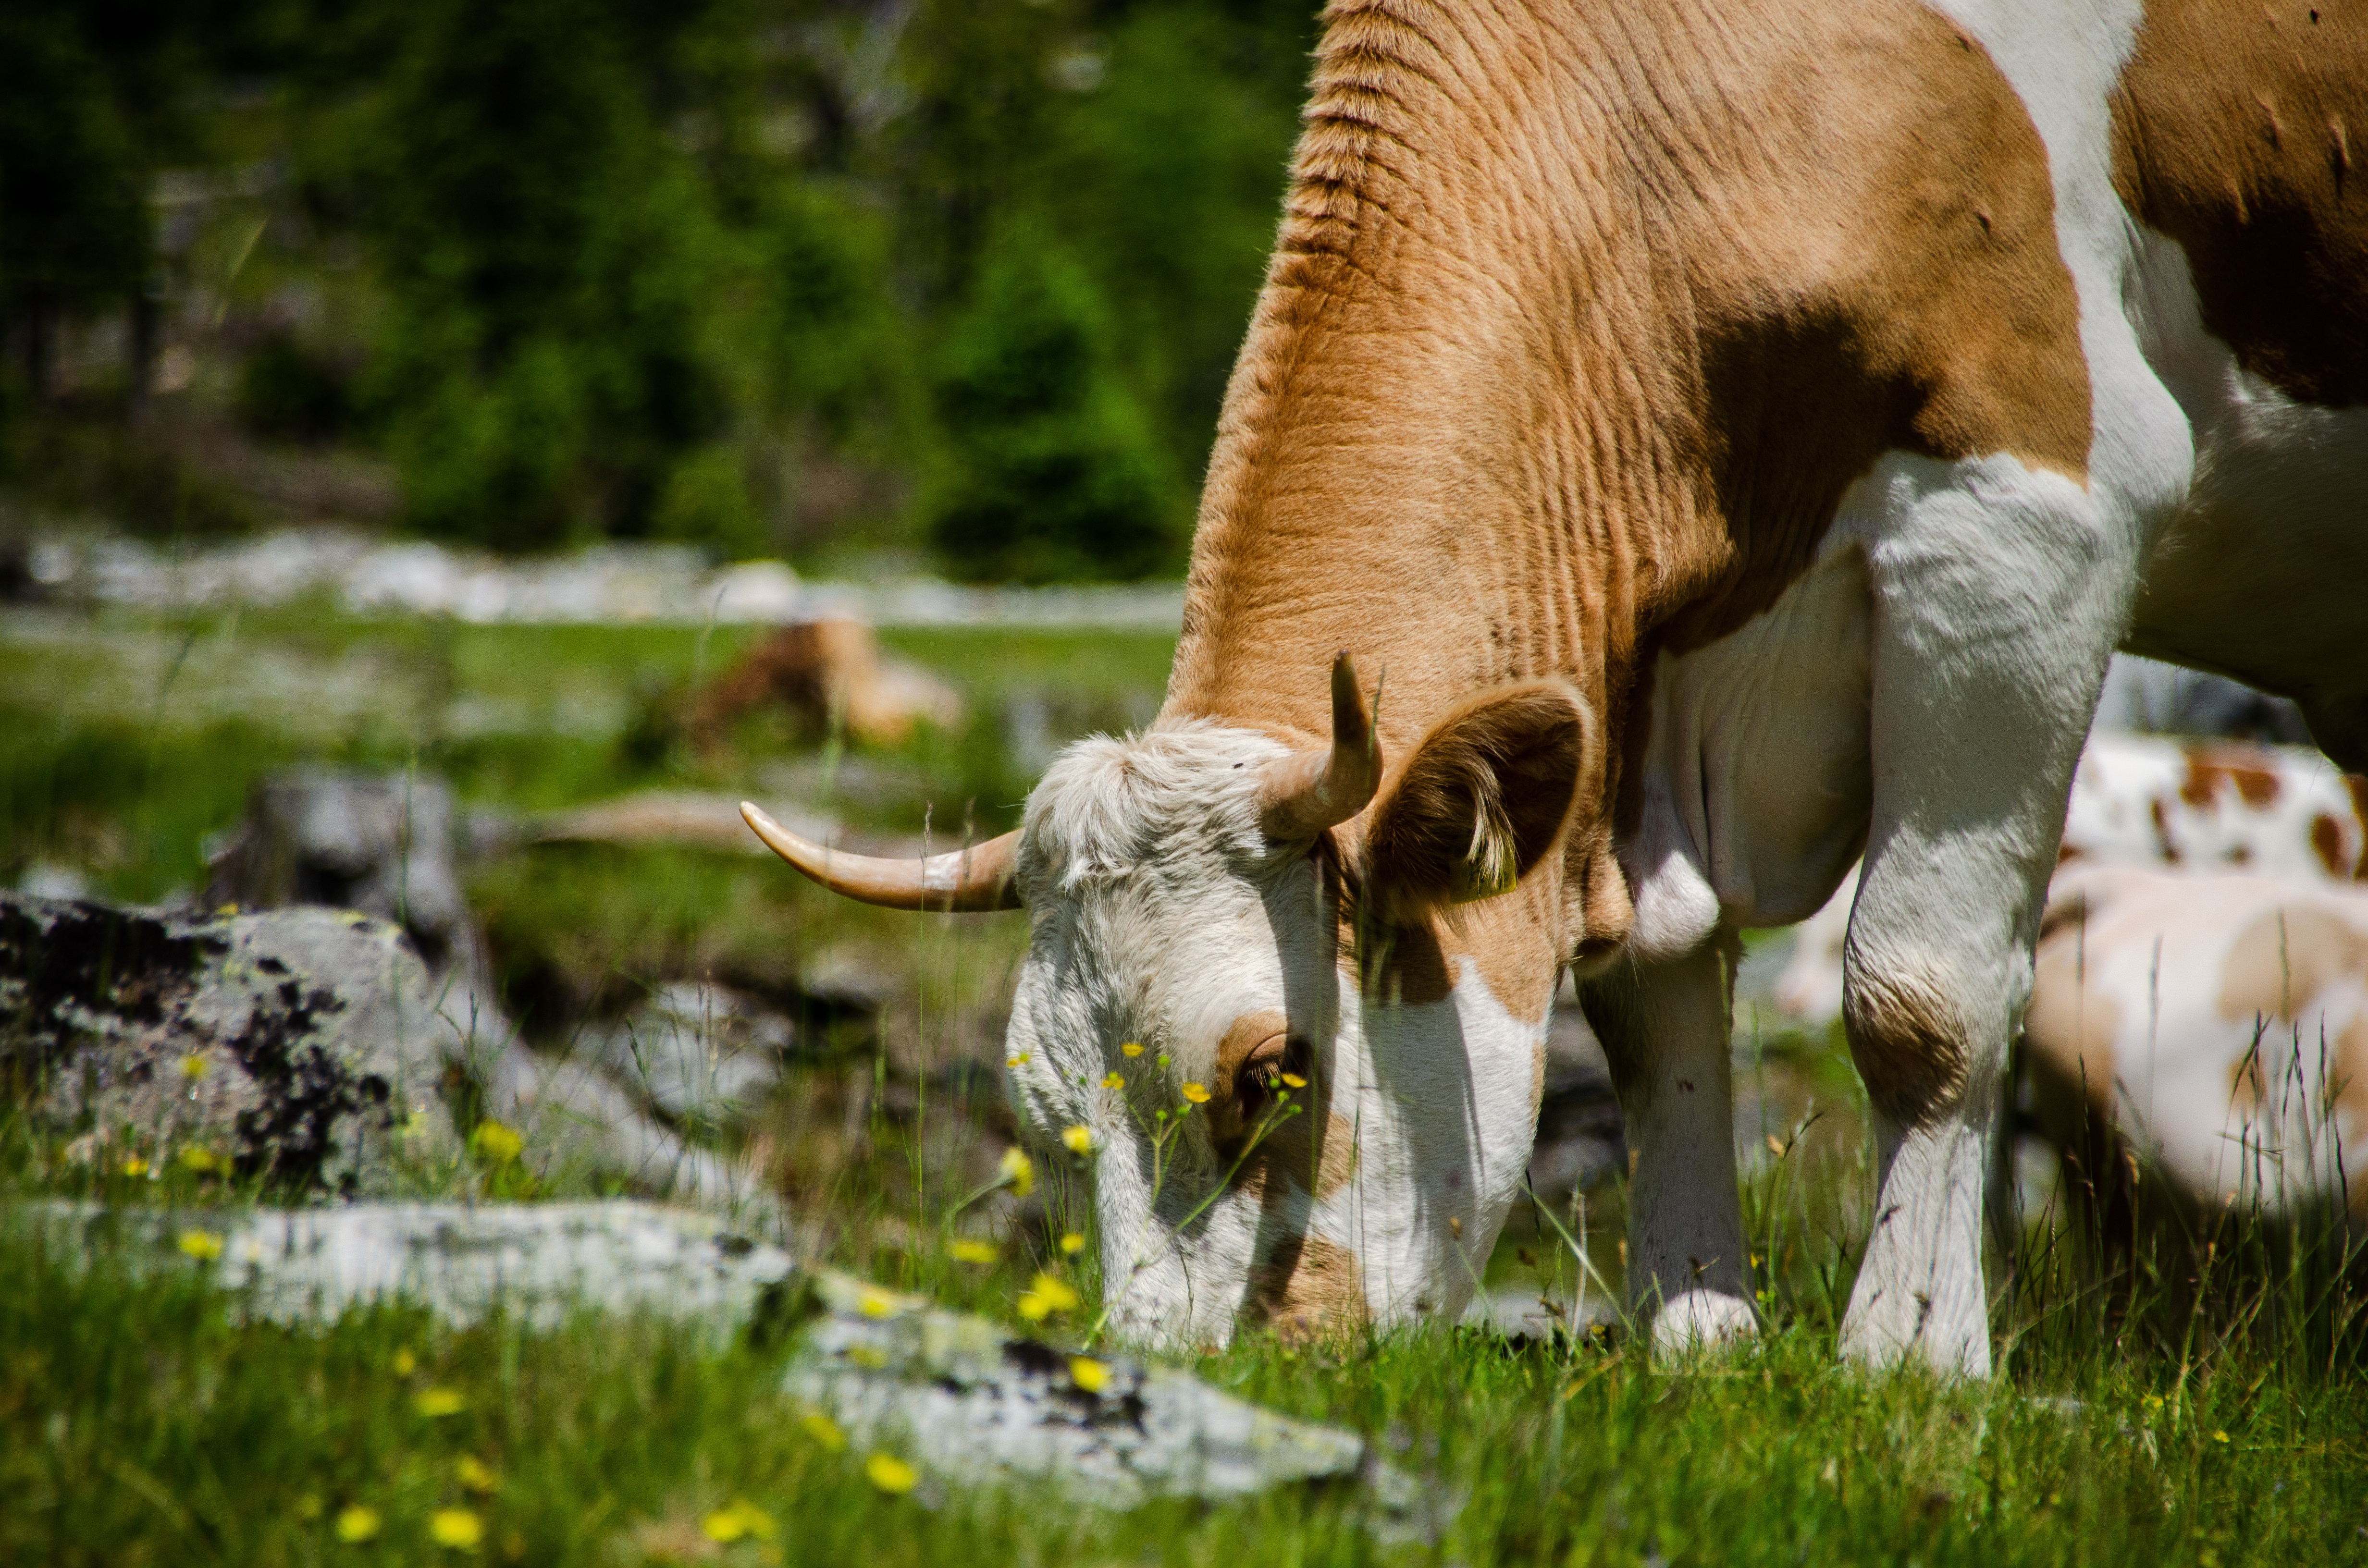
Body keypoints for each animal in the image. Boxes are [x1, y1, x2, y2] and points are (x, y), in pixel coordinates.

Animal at [743, 0, 2368, 1373]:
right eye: (1043, 1111)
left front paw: (1910, 1362)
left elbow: (1923, 999)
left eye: (1274, 1071)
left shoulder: (2025, 521)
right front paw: (1698, 1334)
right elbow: (1651, 1003)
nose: (1173, 1369)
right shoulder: (1636, 673)